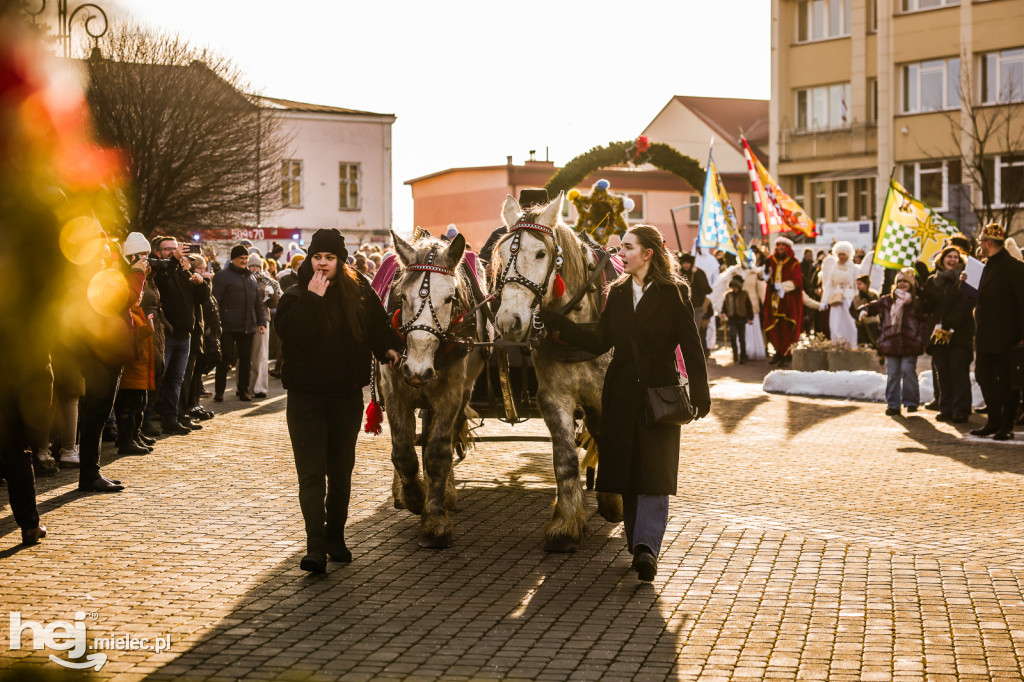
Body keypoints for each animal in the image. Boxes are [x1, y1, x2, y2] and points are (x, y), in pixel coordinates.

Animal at [489, 192, 618, 552]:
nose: (509, 321)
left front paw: (613, 500)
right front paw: (566, 523)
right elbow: (565, 459)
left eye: (540, 253)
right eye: (501, 255)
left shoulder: (607, 396)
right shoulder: (553, 398)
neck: (577, 331)